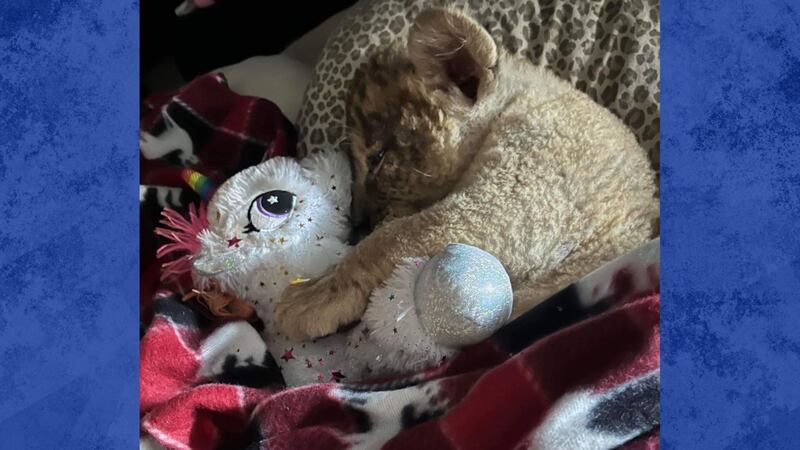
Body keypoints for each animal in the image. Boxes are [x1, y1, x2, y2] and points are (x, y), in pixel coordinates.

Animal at [275, 8, 658, 341]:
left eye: (379, 158)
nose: (355, 227)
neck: (514, 104)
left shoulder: (516, 200)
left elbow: (396, 237)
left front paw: (312, 296)